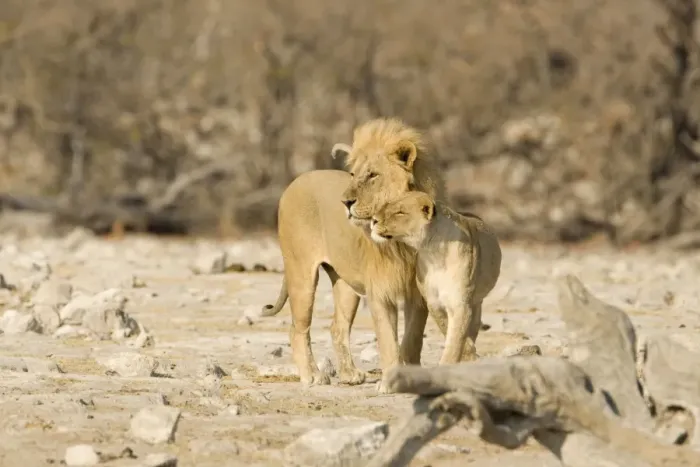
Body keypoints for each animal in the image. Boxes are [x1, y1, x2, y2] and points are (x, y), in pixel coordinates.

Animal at [261, 118, 445, 392]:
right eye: (353, 174)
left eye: (372, 175)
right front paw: (389, 383)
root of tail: (295, 181)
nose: (345, 202)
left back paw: (349, 374)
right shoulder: (380, 293)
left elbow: (412, 339)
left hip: (346, 284)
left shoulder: (417, 293)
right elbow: (388, 340)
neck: (400, 240)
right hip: (301, 273)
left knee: (337, 327)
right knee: (297, 329)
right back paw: (312, 376)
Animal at [370, 191, 502, 364]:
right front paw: (468, 353)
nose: (373, 220)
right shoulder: (434, 302)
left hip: (476, 301)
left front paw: (460, 358)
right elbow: (448, 329)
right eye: (387, 205)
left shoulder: (460, 303)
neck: (433, 252)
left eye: (400, 212)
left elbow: (455, 340)